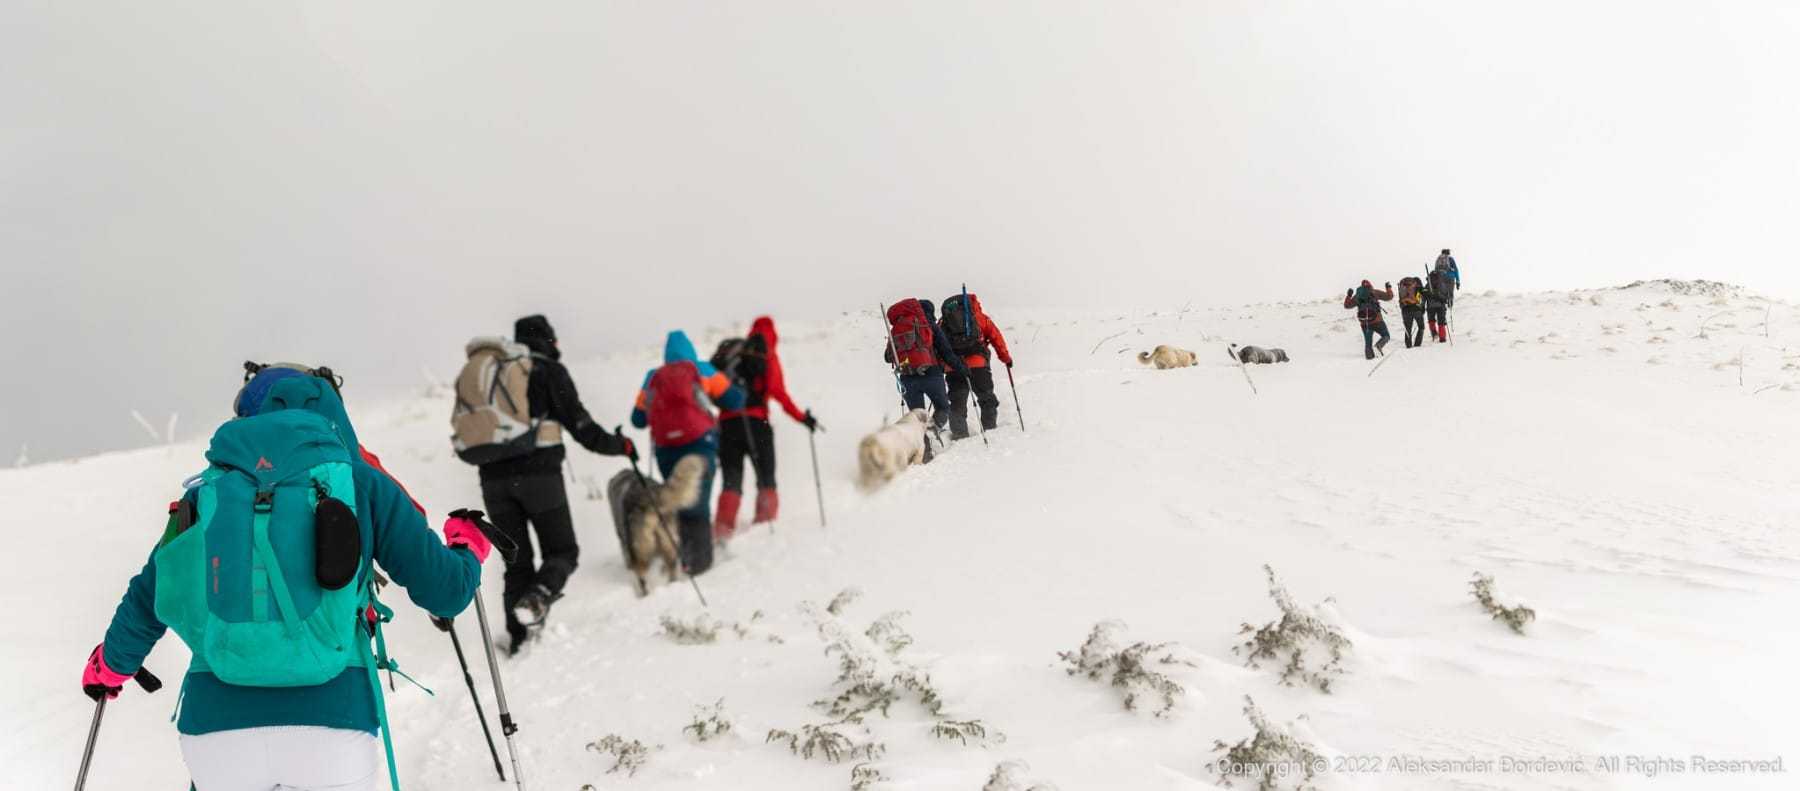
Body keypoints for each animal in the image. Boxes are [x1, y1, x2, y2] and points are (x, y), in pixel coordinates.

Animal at [606, 454, 707, 596]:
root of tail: (651, 496)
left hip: (641, 549)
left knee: (642, 577)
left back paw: (645, 594)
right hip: (668, 542)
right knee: (671, 569)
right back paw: (671, 584)